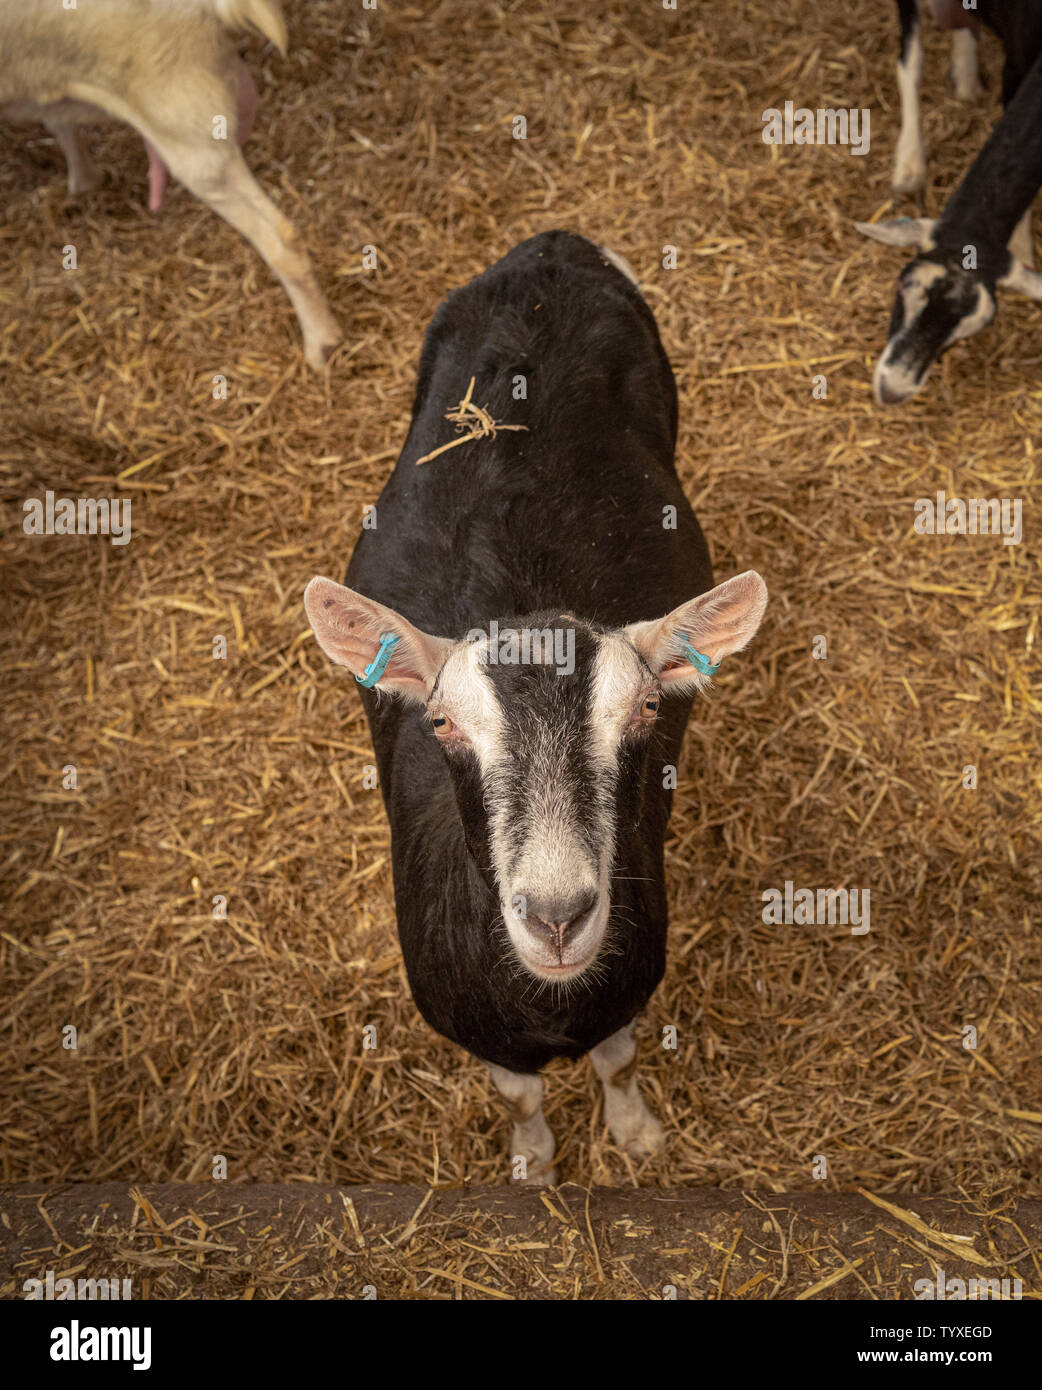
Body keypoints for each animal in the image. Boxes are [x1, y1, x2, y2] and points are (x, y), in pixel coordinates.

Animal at [304, 231, 767, 1182]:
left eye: (646, 711)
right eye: (441, 722)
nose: (558, 917)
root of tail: (550, 251)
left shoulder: (626, 984)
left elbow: (618, 1059)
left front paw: (634, 1134)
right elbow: (518, 1098)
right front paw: (533, 1167)